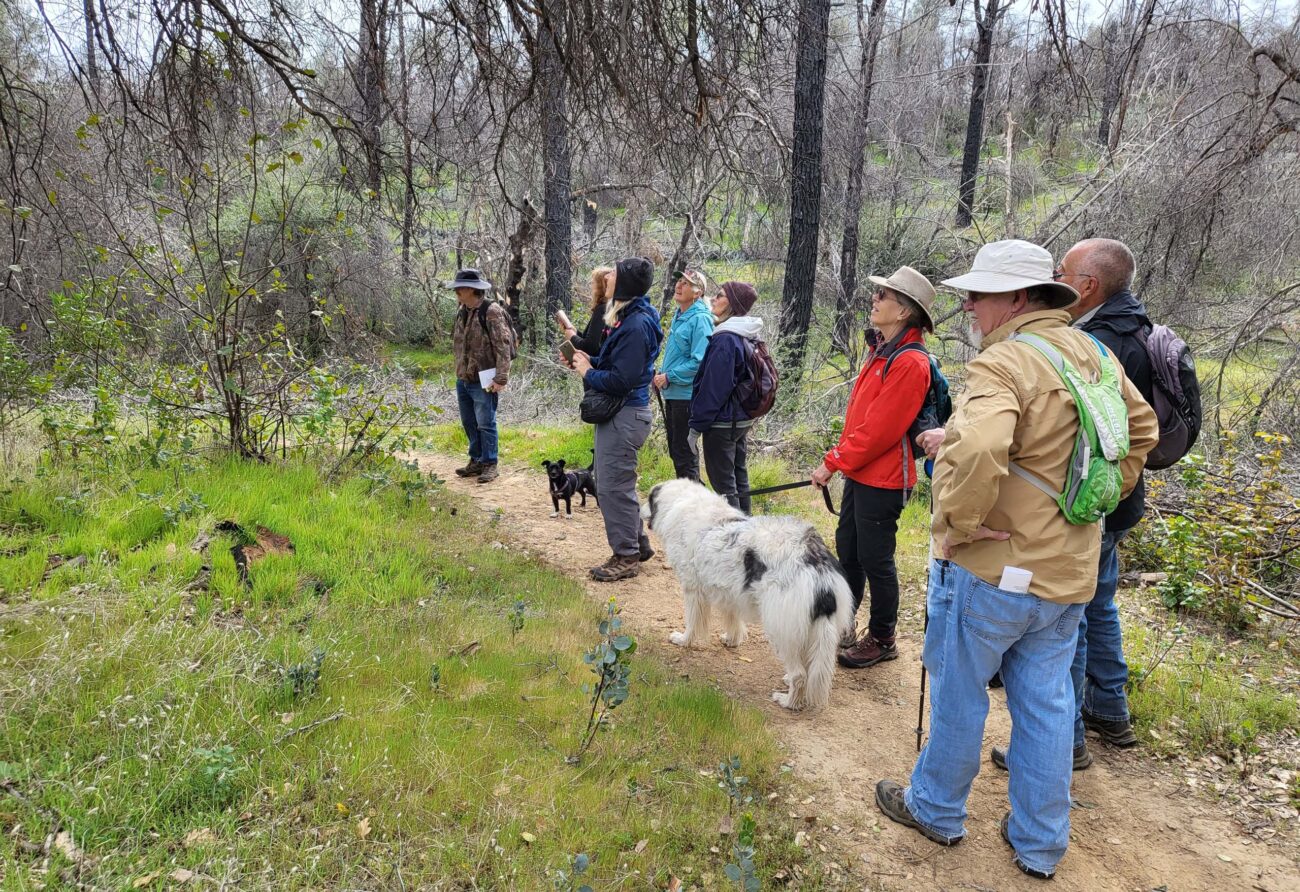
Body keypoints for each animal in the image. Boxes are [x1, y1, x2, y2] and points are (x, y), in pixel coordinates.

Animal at [644, 481, 857, 712]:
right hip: (810, 630)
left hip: (781, 630)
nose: (639, 509)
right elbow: (733, 620)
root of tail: (816, 561)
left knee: (799, 675)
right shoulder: (728, 591)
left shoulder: (693, 591)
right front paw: (732, 640)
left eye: (648, 500)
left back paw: (788, 701)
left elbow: (692, 625)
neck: (684, 502)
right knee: (807, 667)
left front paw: (683, 641)